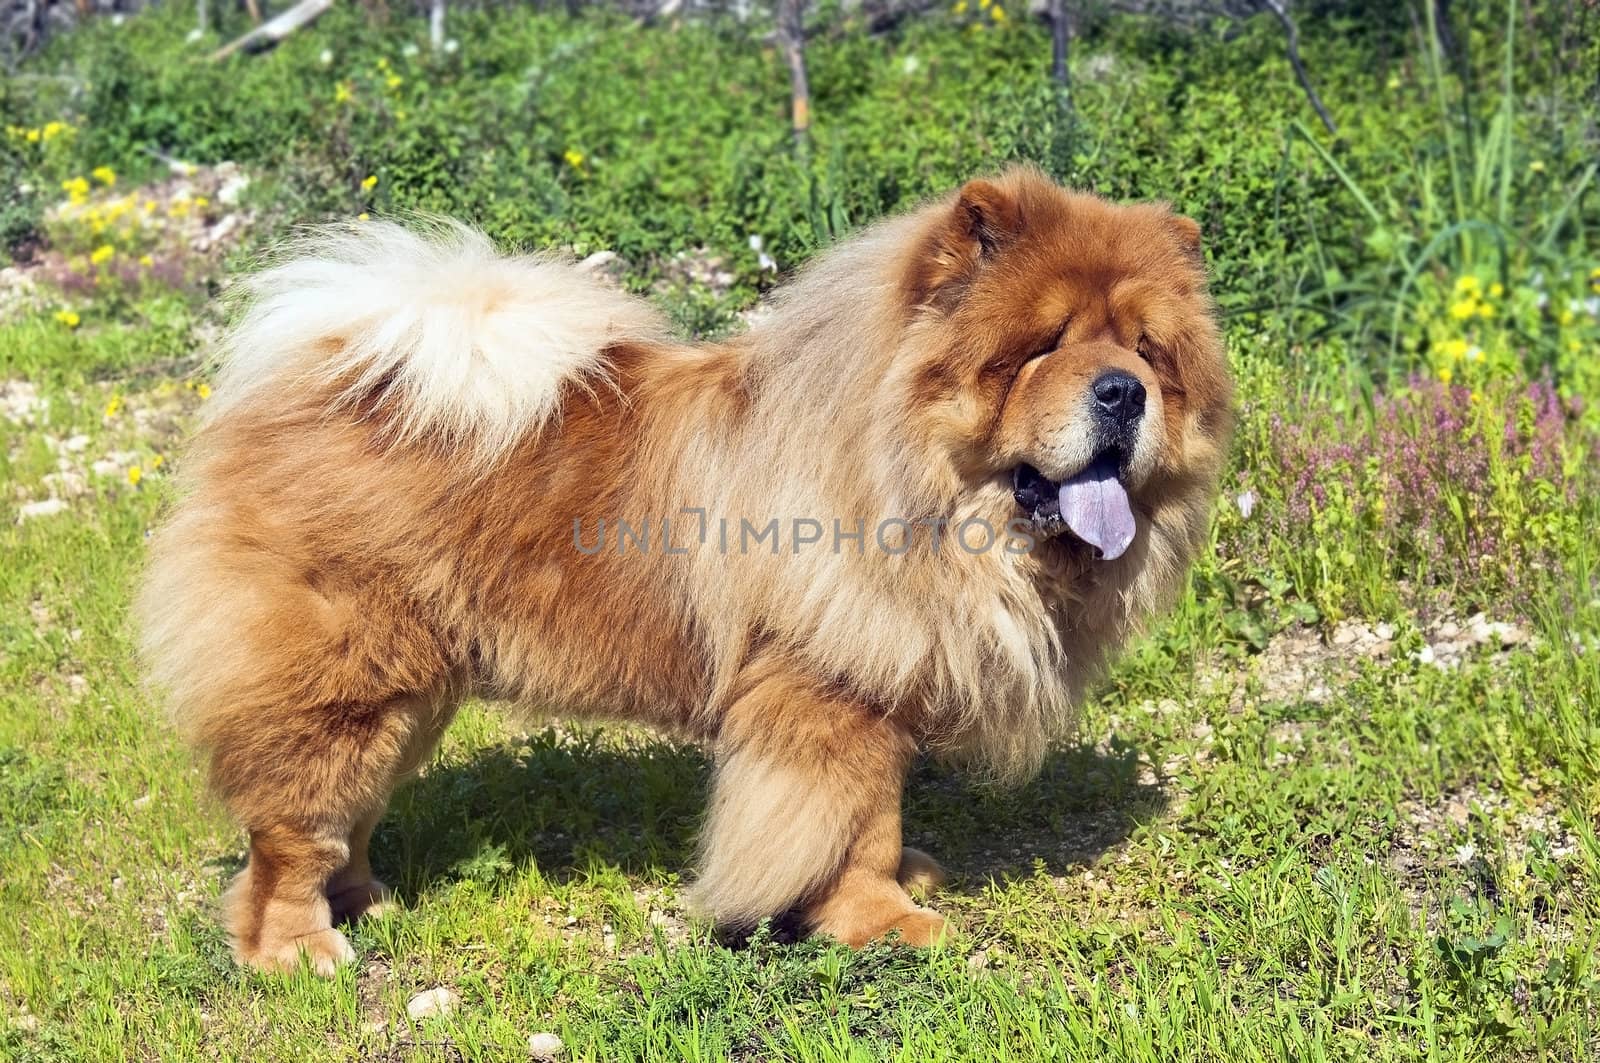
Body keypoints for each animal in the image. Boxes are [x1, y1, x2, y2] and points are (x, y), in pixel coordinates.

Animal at [140, 166, 1235, 973]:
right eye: (1041, 347)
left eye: (1148, 350)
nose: (1121, 391)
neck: (921, 492)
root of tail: (319, 381)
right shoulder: (823, 695)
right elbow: (851, 825)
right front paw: (879, 919)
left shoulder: (876, 687)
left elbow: (878, 813)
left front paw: (897, 883)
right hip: (344, 681)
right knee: (293, 829)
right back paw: (298, 950)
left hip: (411, 693)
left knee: (349, 812)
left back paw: (370, 900)